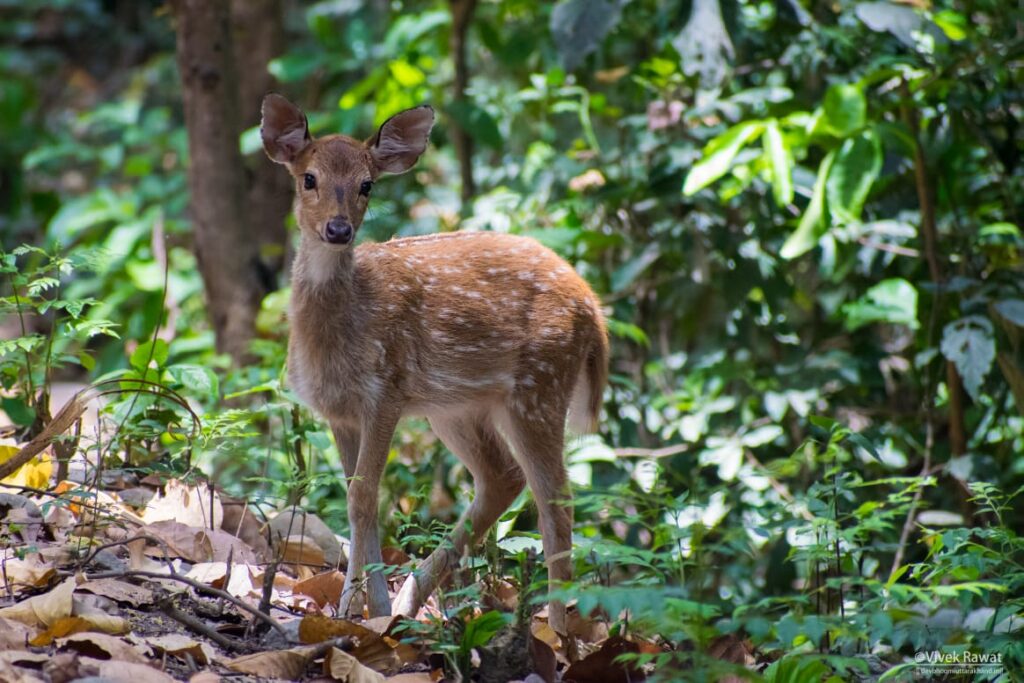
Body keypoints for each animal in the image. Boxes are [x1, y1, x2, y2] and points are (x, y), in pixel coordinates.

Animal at [260, 92, 606, 634]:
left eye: (367, 184)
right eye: (308, 178)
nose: (338, 229)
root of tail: (592, 305)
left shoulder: (386, 390)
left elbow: (363, 499)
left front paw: (357, 613)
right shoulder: (340, 411)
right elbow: (359, 501)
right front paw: (368, 612)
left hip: (540, 386)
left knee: (556, 502)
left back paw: (556, 631)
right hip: (457, 407)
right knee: (503, 478)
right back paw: (413, 603)